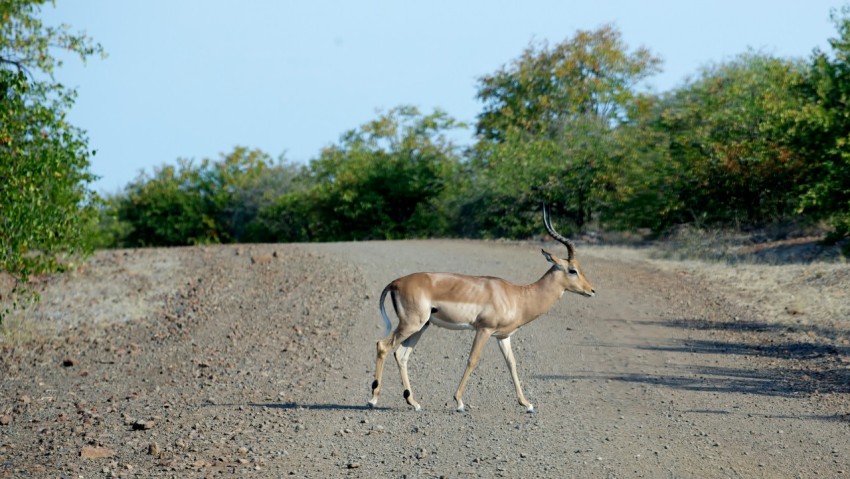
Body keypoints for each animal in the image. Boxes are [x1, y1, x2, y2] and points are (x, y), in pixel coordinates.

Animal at [368, 204, 595, 413]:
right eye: (572, 270)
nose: (591, 291)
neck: (517, 296)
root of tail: (396, 282)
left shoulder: (503, 336)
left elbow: (512, 363)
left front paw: (527, 403)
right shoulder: (484, 329)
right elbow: (472, 360)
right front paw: (459, 402)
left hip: (421, 326)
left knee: (401, 355)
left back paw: (413, 402)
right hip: (411, 324)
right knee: (383, 346)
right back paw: (373, 399)